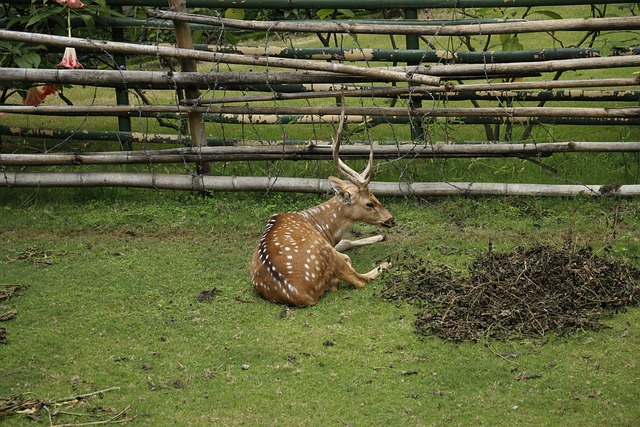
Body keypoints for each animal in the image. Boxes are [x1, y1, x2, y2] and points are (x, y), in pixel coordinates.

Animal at [250, 108, 394, 307]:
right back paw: (387, 264)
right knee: (359, 280)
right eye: (369, 203)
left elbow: (347, 241)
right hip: (326, 253)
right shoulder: (328, 244)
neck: (324, 228)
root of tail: (302, 295)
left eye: (375, 196)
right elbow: (348, 246)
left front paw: (380, 236)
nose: (391, 219)